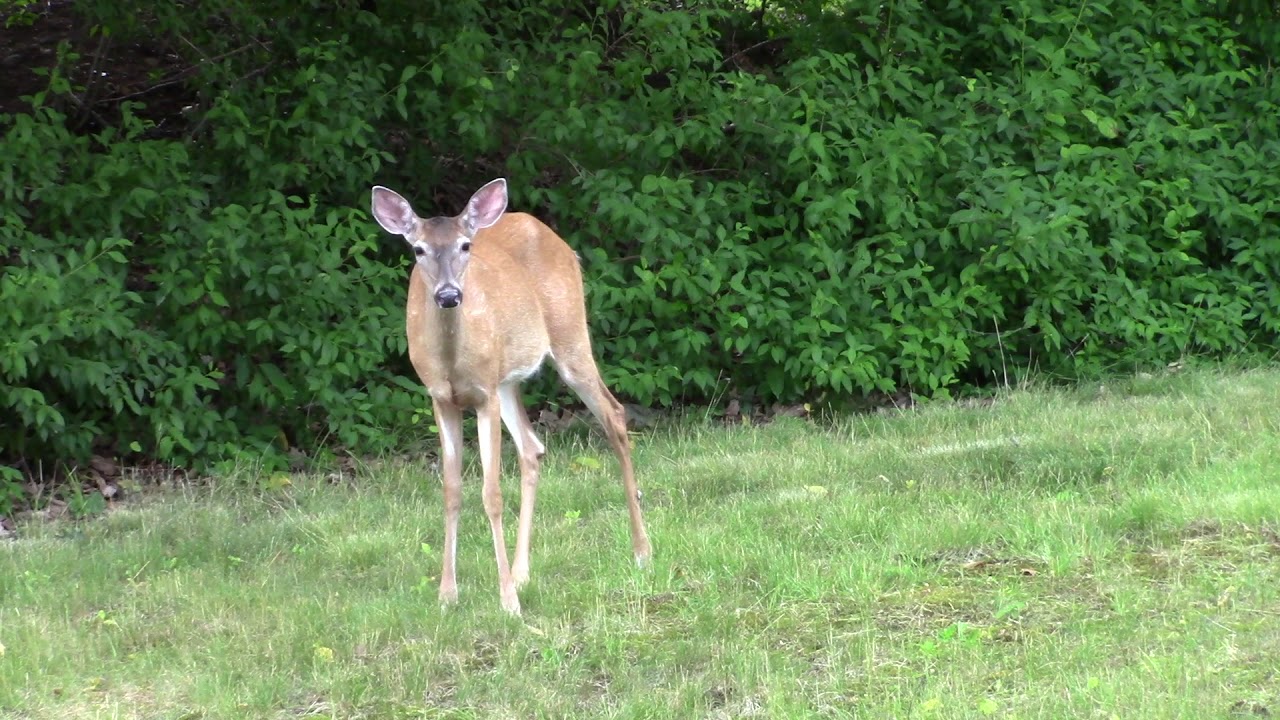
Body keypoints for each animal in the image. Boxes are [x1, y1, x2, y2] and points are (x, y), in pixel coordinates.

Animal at [369, 178, 652, 615]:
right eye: (418, 249)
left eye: (466, 245)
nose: (448, 295)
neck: (451, 361)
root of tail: (557, 239)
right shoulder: (441, 399)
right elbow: (451, 491)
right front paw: (447, 595)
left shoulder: (483, 394)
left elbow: (492, 494)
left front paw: (507, 601)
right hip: (507, 379)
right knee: (532, 447)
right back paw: (522, 572)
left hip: (569, 334)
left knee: (614, 414)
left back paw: (641, 550)